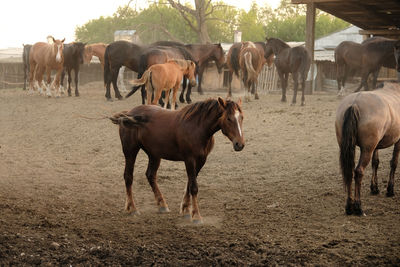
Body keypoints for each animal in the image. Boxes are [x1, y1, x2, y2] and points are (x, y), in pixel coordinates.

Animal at [111, 98, 245, 224]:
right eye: (228, 118)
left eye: (241, 117)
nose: (240, 144)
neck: (198, 127)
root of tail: (129, 113)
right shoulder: (189, 159)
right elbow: (193, 187)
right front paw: (196, 216)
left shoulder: (201, 160)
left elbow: (189, 184)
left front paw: (186, 209)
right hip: (130, 151)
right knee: (128, 176)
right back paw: (132, 208)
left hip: (154, 154)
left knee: (150, 175)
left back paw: (162, 204)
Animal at [334, 82, 400, 217]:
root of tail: (354, 103)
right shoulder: (398, 140)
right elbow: (394, 163)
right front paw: (390, 190)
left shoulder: (376, 146)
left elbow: (376, 163)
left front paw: (374, 188)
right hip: (367, 149)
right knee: (359, 171)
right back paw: (358, 207)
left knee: (349, 172)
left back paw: (349, 206)